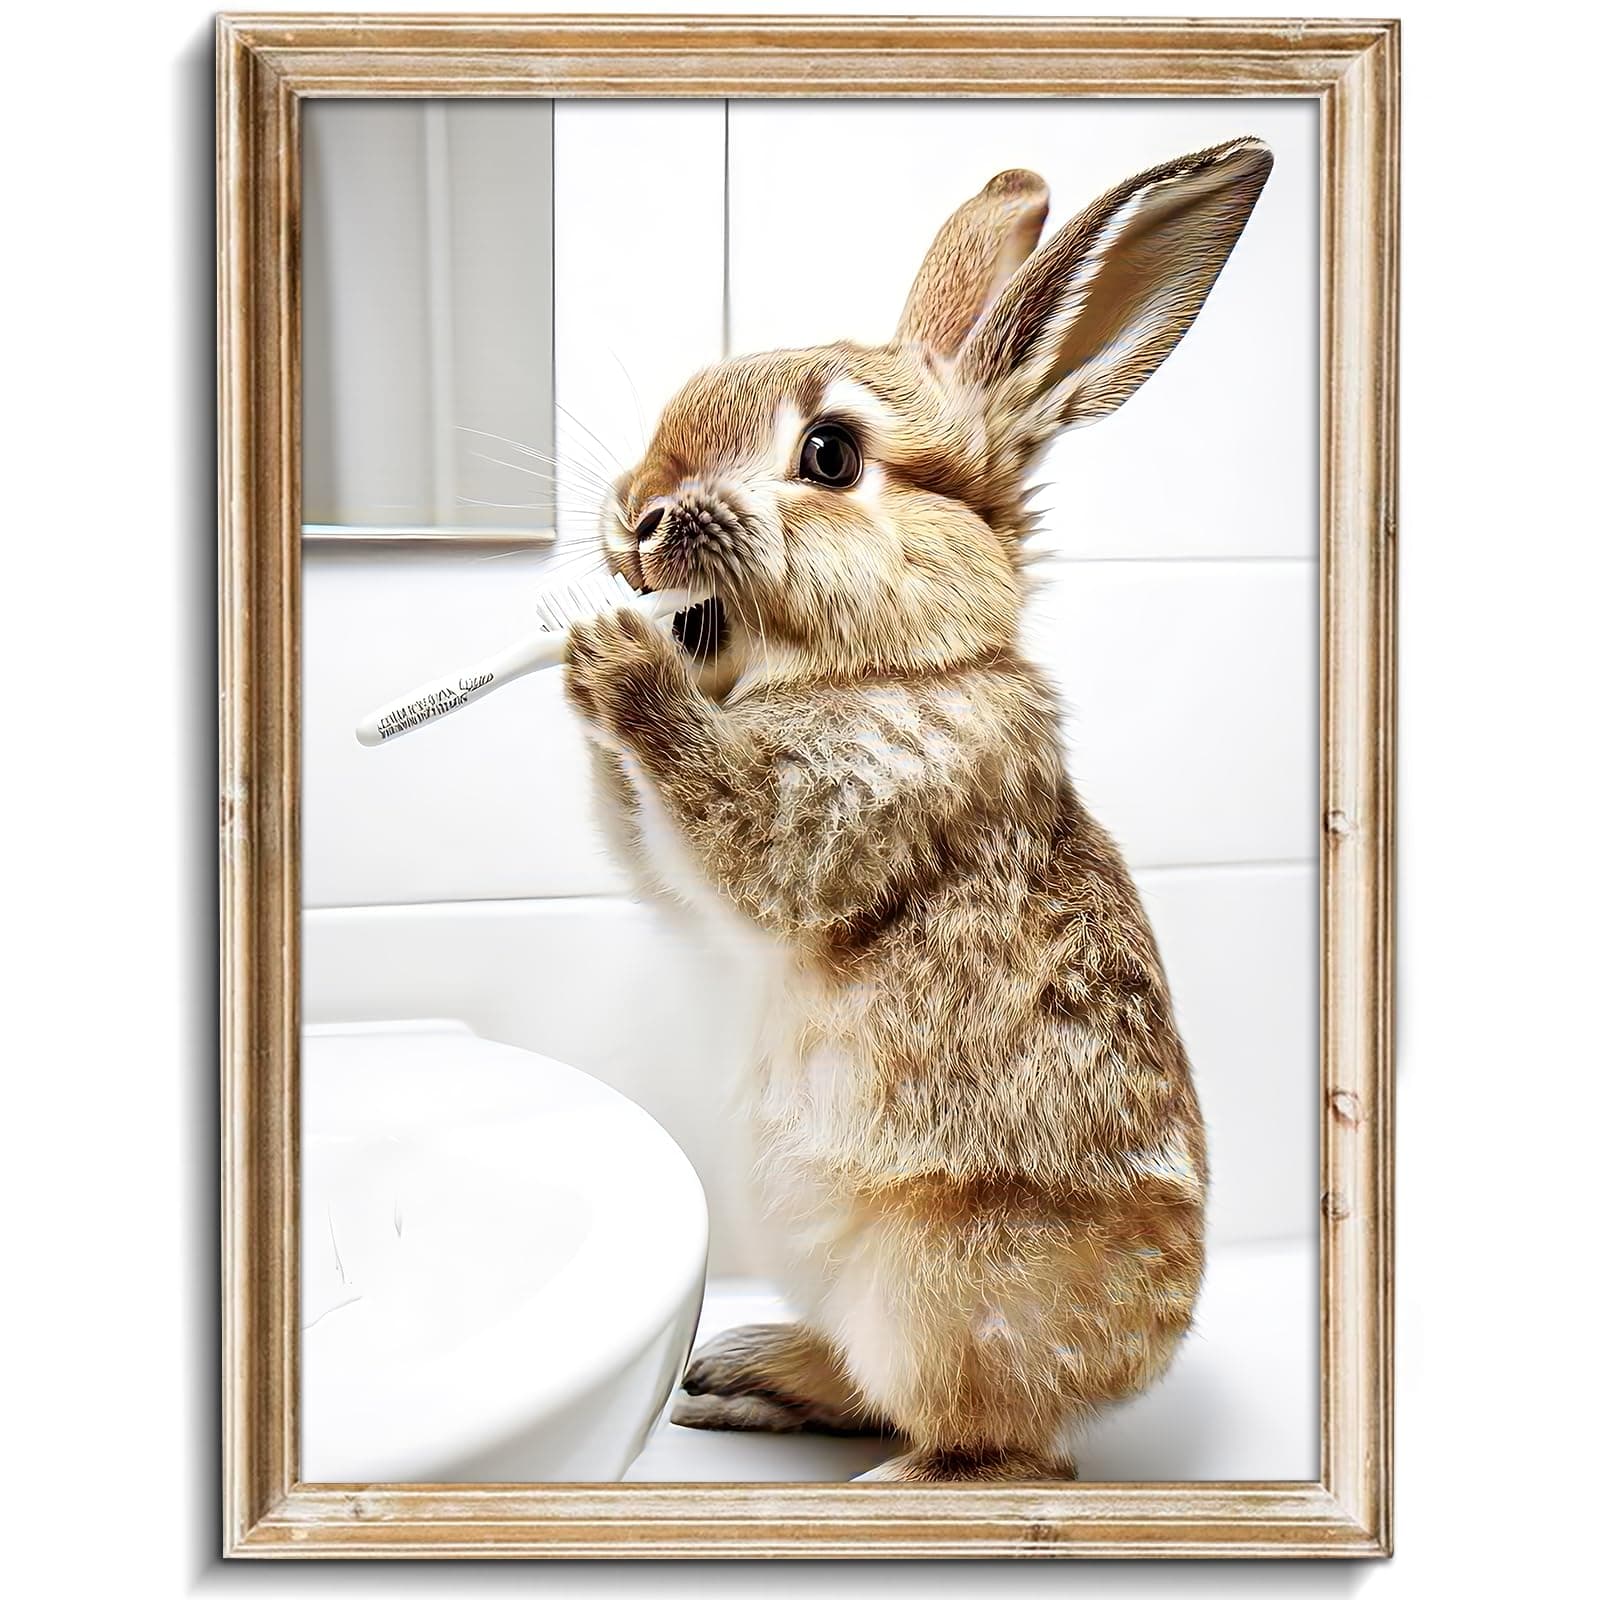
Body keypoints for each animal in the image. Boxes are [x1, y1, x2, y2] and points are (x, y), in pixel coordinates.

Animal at [562, 137, 1274, 1482]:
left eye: (830, 456)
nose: (635, 518)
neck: (899, 664)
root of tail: (1149, 1345)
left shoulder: (835, 809)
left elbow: (721, 817)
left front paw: (619, 662)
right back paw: (741, 1375)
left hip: (942, 1296)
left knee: (993, 1452)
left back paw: (878, 1485)